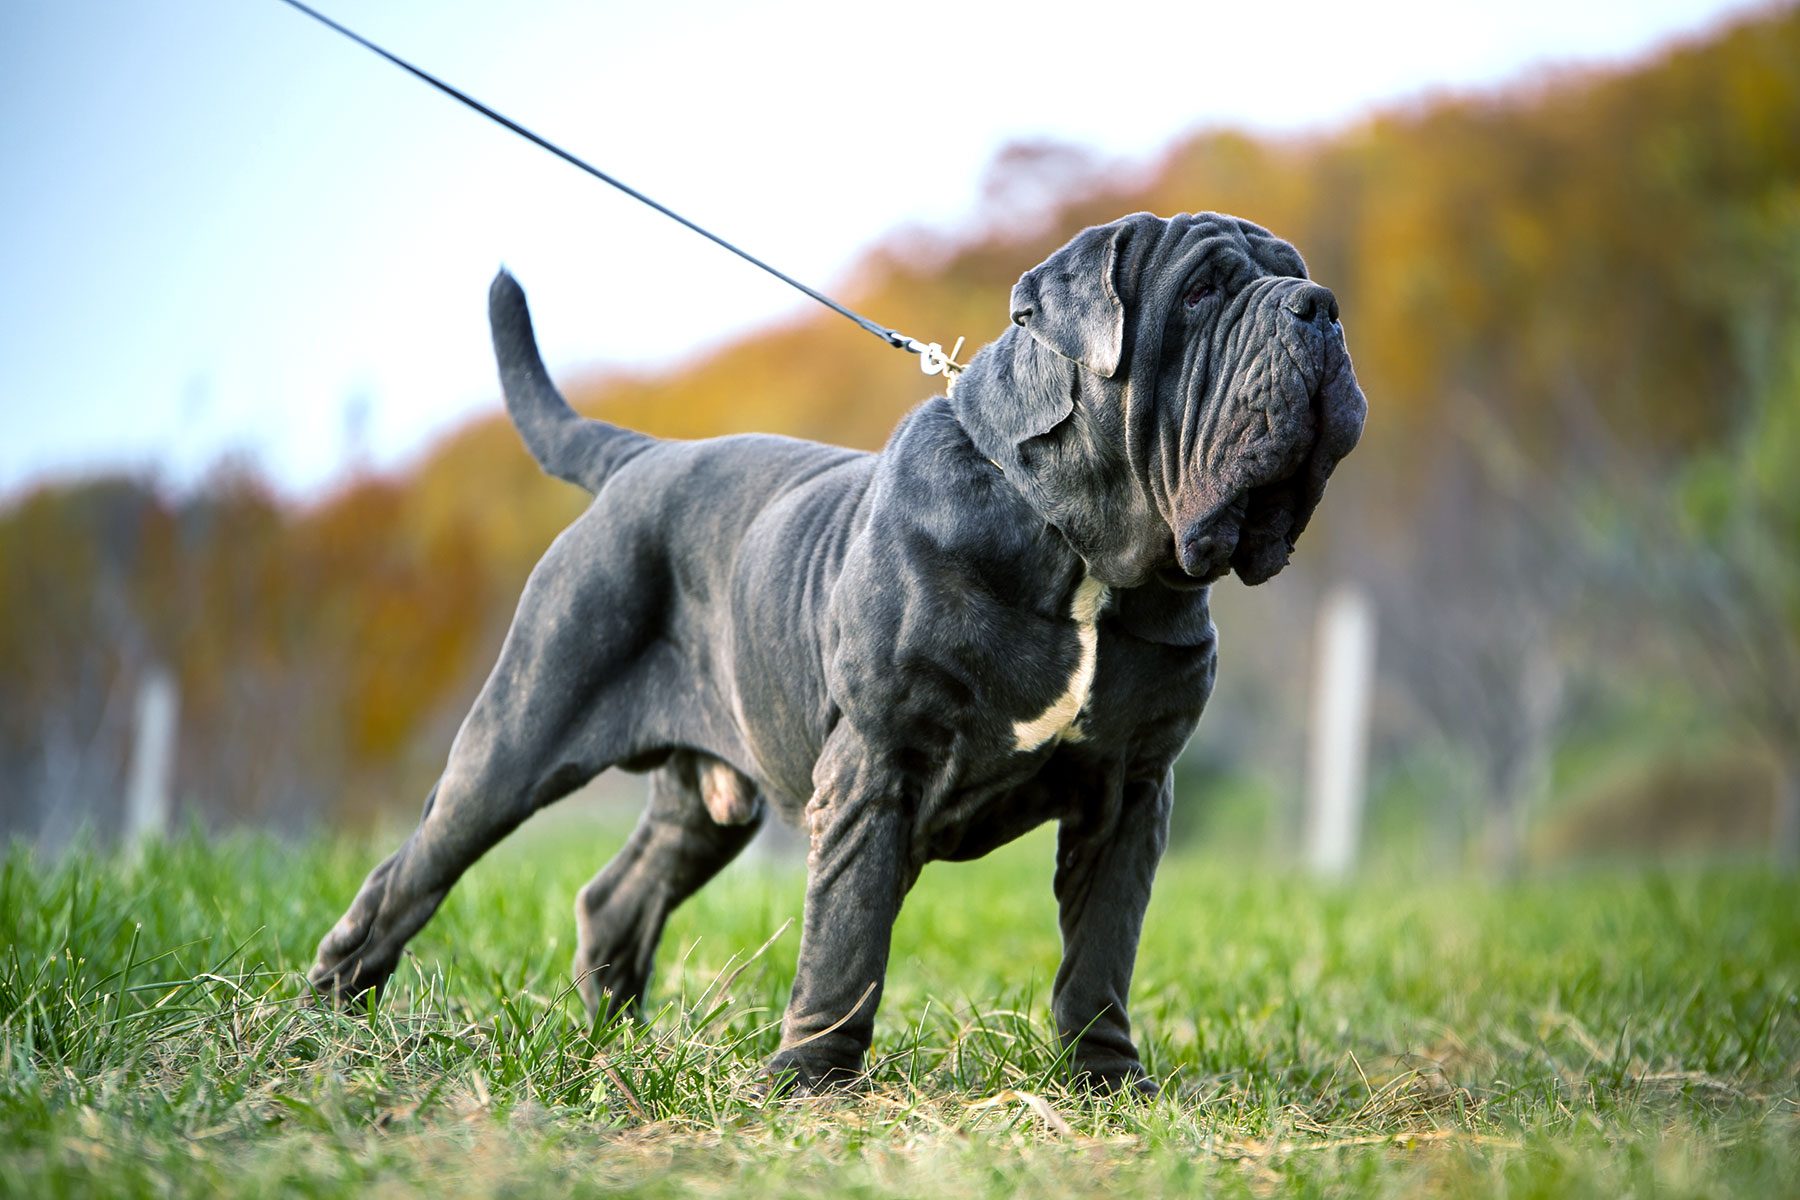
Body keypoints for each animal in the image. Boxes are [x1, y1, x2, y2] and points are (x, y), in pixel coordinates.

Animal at [316, 211, 1368, 1093]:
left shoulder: (1132, 793)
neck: (1079, 552)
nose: (1319, 305)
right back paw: (329, 1020)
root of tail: (638, 457)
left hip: (707, 797)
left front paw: (1107, 1082)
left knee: (616, 897)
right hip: (519, 733)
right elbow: (849, 934)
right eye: (1202, 293)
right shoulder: (876, 765)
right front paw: (811, 1081)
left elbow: (1101, 952)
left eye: (1293, 275)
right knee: (411, 872)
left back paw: (620, 1048)